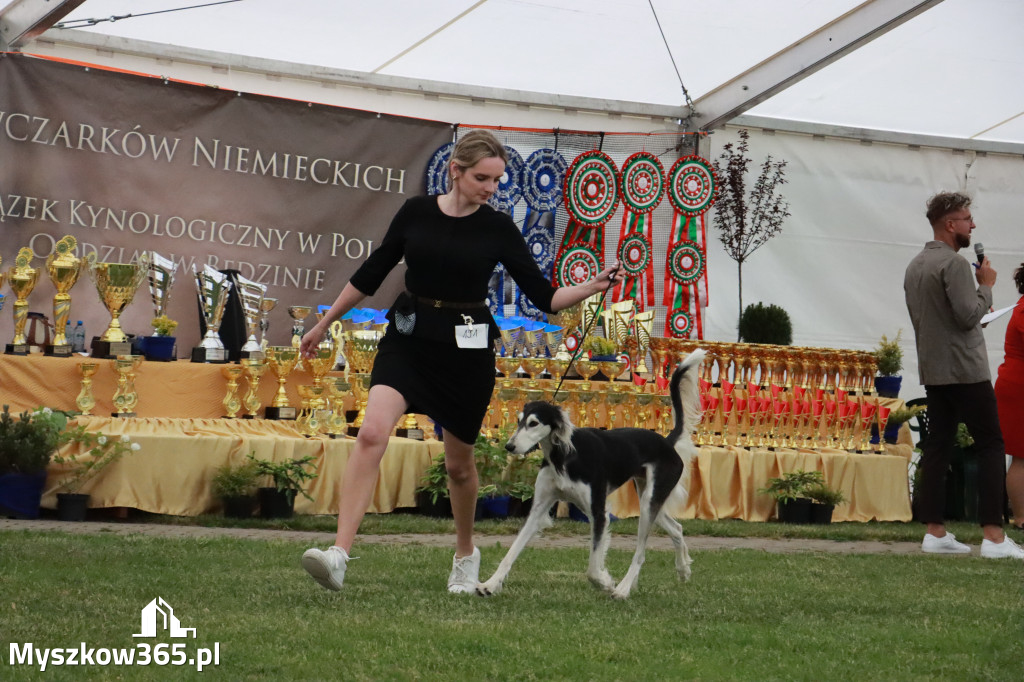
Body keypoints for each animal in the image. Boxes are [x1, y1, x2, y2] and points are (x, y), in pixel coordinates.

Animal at [477, 348, 704, 598]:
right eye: (518, 422)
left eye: (534, 423)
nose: (509, 446)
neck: (563, 457)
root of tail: (666, 443)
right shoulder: (539, 509)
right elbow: (511, 551)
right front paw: (490, 584)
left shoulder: (598, 511)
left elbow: (593, 568)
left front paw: (606, 583)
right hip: (649, 498)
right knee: (677, 528)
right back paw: (682, 569)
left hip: (649, 502)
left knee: (641, 553)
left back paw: (623, 589)